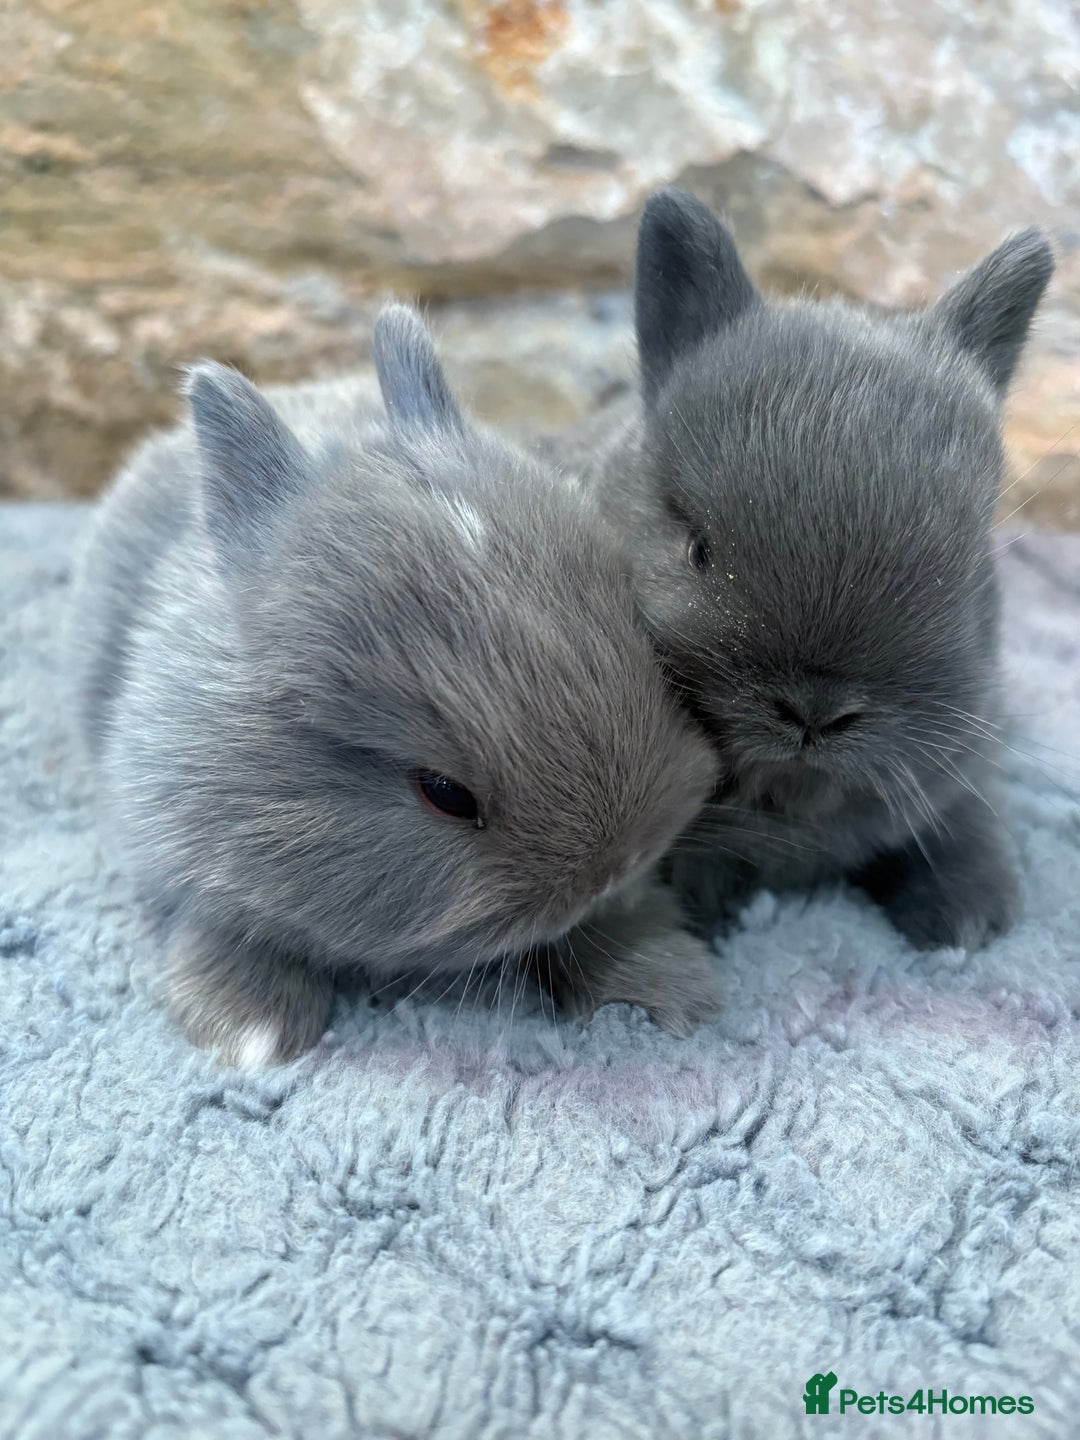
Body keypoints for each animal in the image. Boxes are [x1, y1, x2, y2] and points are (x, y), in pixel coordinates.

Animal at [68, 304, 723, 1067]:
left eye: (637, 639)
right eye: (444, 793)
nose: (617, 864)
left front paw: (659, 990)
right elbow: (219, 925)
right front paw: (250, 1034)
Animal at [548, 189, 1054, 951]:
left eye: (965, 573)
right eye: (698, 550)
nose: (815, 712)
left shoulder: (962, 767)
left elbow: (965, 826)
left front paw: (971, 921)